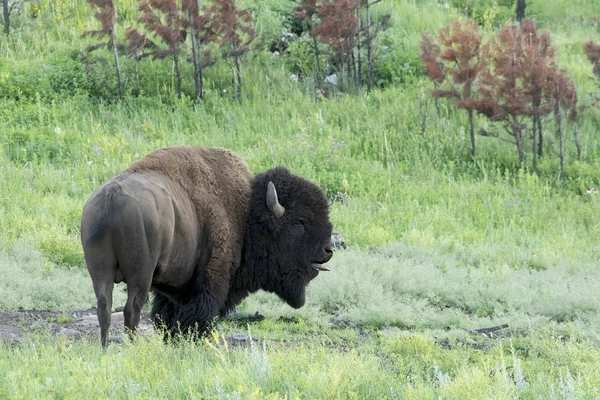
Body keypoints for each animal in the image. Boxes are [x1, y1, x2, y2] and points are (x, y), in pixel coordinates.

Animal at [81, 145, 332, 346]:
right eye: (299, 222)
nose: (328, 250)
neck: (245, 214)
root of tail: (111, 197)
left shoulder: (173, 289)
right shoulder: (210, 280)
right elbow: (198, 317)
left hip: (101, 272)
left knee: (104, 306)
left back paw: (105, 347)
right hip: (140, 276)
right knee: (131, 309)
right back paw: (133, 347)